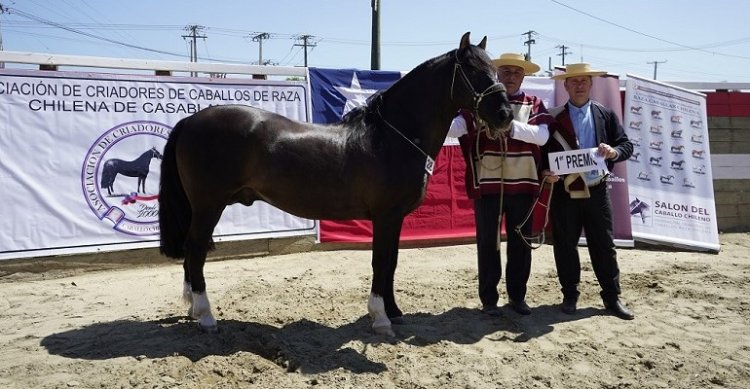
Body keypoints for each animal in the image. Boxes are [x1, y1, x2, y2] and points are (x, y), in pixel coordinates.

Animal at [156, 33, 516, 334]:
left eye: (495, 70)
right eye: (473, 70)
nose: (505, 114)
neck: (390, 137)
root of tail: (190, 120)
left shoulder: (396, 218)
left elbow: (392, 263)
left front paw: (394, 311)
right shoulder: (385, 216)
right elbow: (380, 261)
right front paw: (380, 318)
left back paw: (192, 308)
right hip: (208, 205)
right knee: (195, 249)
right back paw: (206, 316)